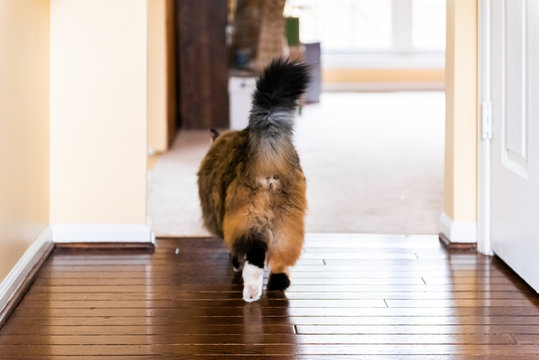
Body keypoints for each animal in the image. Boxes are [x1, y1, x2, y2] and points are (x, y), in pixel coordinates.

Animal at [197, 58, 308, 300]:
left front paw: (235, 265)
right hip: (286, 225)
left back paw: (250, 293)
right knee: (280, 263)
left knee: (254, 260)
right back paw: (276, 285)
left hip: (251, 222)